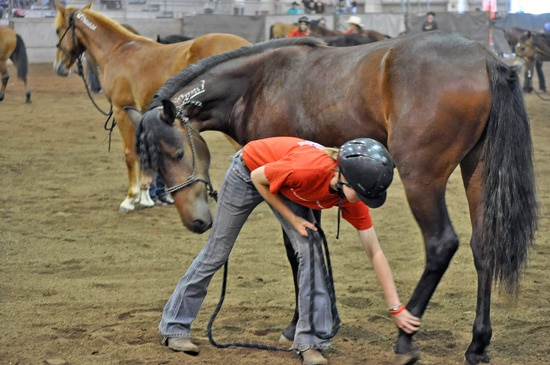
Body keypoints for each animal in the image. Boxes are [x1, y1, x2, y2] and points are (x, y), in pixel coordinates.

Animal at [51, 0, 250, 220]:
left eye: (58, 30)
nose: (59, 67)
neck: (118, 51)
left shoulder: (121, 111)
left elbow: (130, 154)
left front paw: (130, 199)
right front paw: (146, 197)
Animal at [128, 33, 540, 362]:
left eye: (177, 153)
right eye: (154, 164)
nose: (196, 221)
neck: (259, 83)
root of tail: (487, 61)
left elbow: (296, 252)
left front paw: (296, 328)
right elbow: (311, 246)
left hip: (421, 176)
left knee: (441, 244)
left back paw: (405, 337)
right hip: (477, 171)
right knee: (483, 247)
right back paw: (477, 345)